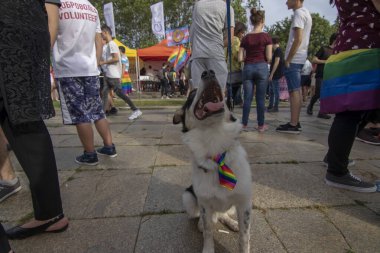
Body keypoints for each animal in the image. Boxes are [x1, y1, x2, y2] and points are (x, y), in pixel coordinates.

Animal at [174, 69, 252, 253]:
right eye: (192, 93)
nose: (208, 72)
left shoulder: (244, 203)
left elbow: (244, 237)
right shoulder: (204, 204)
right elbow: (209, 231)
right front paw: (208, 247)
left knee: (224, 215)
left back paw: (232, 223)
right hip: (188, 198)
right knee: (205, 219)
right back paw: (202, 224)